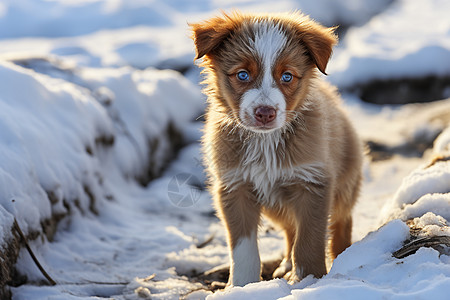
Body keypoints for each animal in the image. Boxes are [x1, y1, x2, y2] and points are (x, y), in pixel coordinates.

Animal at [190, 11, 362, 286]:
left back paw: (345, 255)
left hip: (345, 183)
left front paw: (309, 279)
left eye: (287, 76)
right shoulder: (235, 186)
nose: (265, 113)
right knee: (290, 228)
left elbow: (309, 240)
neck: (265, 142)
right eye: (242, 75)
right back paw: (285, 266)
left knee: (341, 221)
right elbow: (243, 247)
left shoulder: (313, 183)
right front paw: (241, 285)